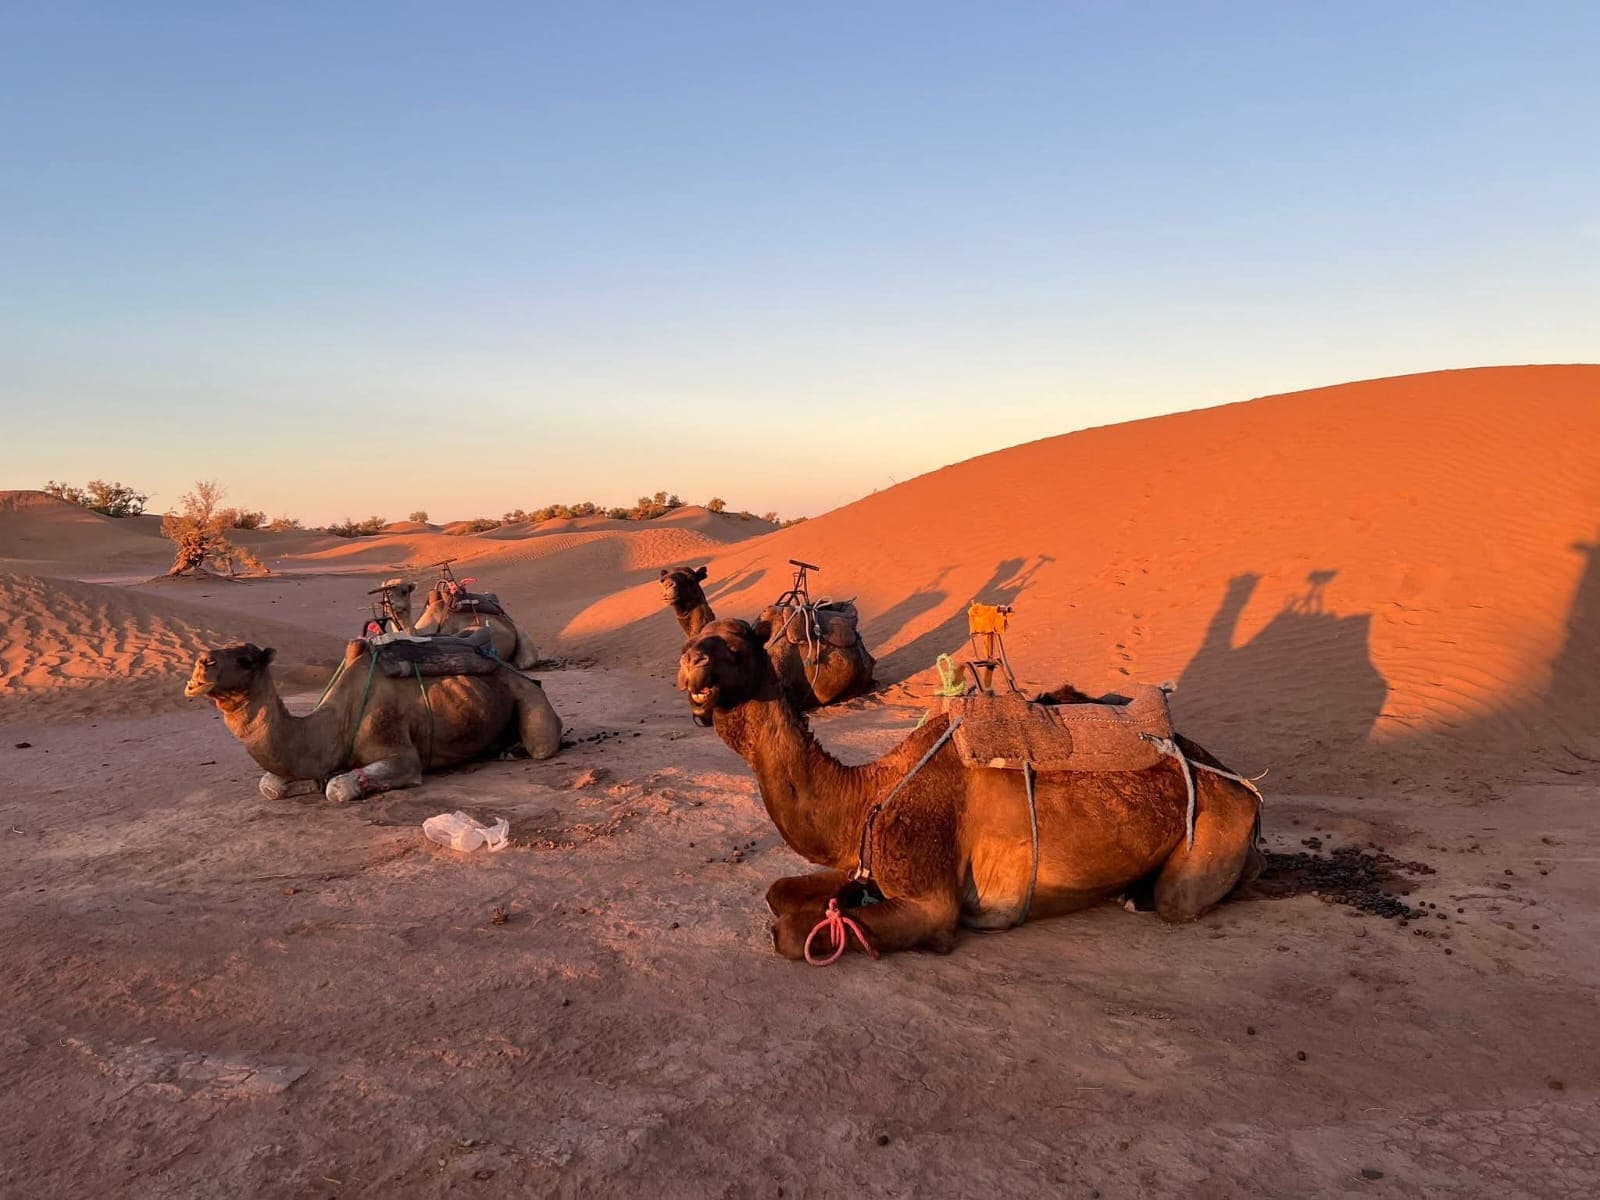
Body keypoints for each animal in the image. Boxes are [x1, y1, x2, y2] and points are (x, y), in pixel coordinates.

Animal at [185, 639, 562, 803]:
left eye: (246, 660)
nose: (202, 664)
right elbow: (271, 786)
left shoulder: (399, 752)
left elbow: (339, 788)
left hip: (528, 696)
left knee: (542, 742)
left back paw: (515, 749)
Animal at [677, 617, 1263, 960]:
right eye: (691, 640)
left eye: (736, 646)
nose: (689, 664)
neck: (867, 794)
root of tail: (1242, 785)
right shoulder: (865, 858)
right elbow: (779, 892)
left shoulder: (930, 903)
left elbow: (790, 933)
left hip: (1216, 826)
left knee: (1178, 899)